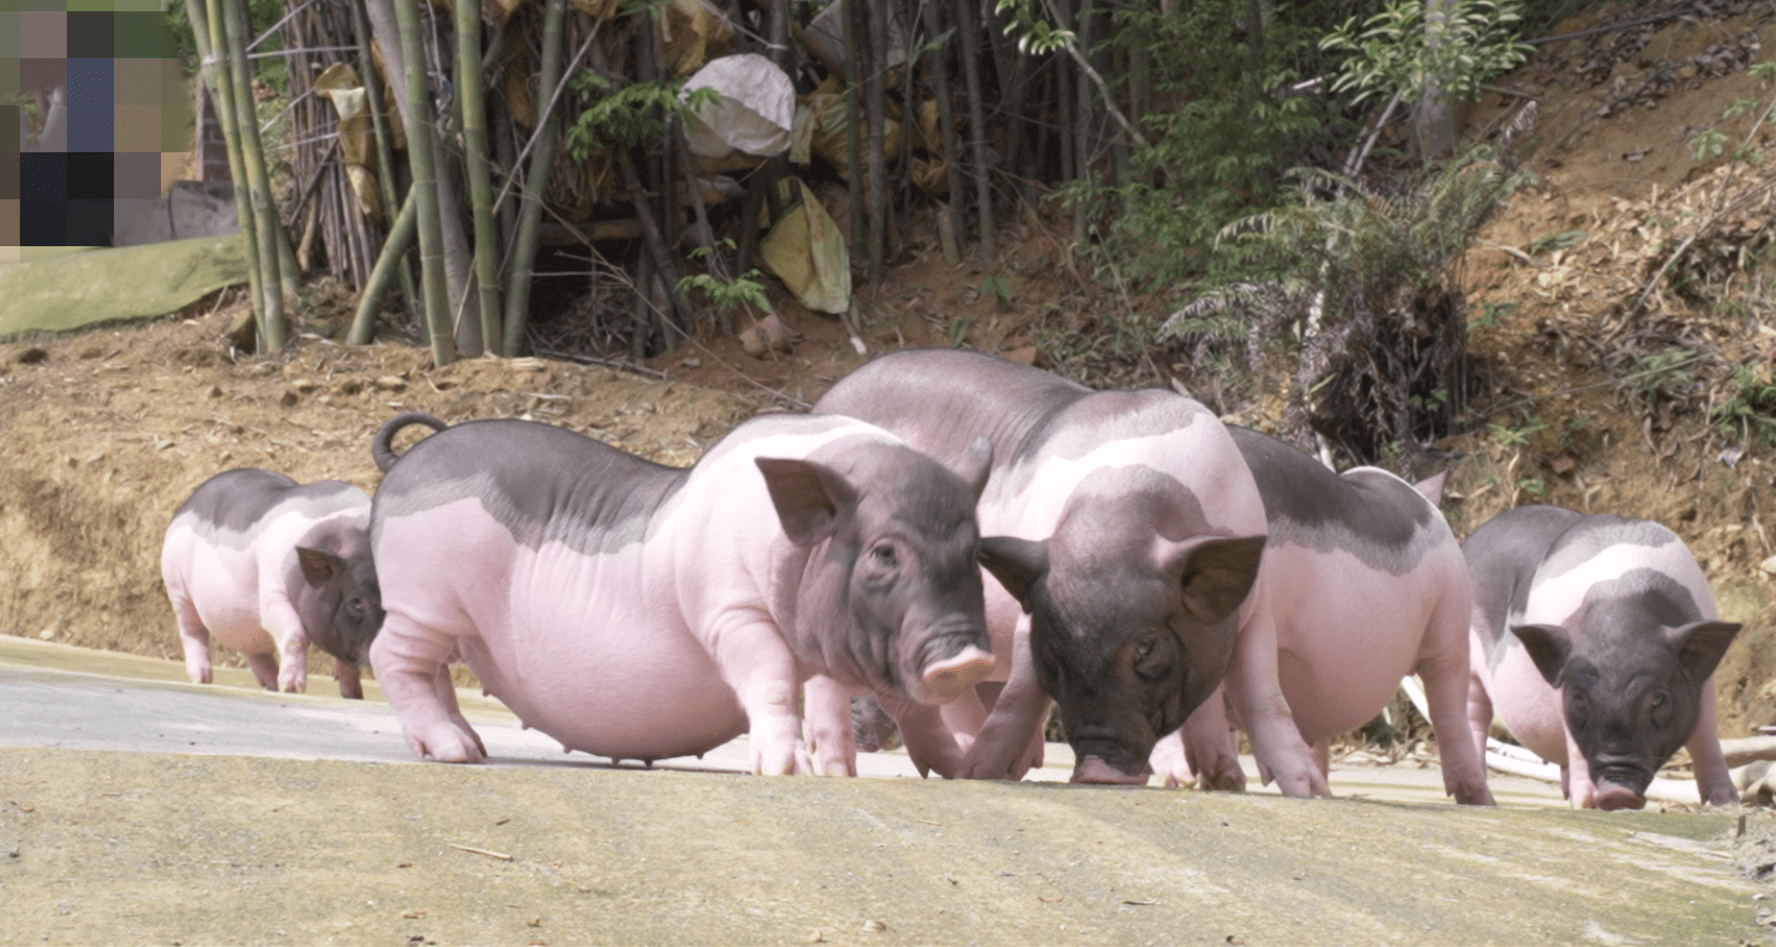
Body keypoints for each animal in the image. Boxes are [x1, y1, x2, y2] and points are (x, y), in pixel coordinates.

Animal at [160, 465, 381, 696]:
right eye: (356, 602)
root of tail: (185, 507)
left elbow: (348, 657)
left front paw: (354, 696)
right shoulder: (273, 594)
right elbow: (295, 636)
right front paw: (292, 689)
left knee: (254, 650)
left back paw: (272, 686)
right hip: (177, 587)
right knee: (192, 631)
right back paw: (202, 679)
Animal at [364, 410, 1001, 771]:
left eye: (974, 551)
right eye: (884, 553)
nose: (969, 658)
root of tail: (402, 467)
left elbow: (842, 700)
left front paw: (851, 774)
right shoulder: (729, 609)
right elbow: (772, 677)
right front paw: (787, 770)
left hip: (451, 623)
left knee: (434, 673)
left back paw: (468, 745)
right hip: (424, 601)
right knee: (391, 657)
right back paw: (455, 755)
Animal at [813, 346, 1328, 788]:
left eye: (1146, 647)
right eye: (1053, 650)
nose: (1097, 768)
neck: (1124, 506)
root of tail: (824, 402)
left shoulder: (1253, 609)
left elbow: (1265, 697)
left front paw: (1302, 790)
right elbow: (1020, 694)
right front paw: (980, 774)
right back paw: (852, 771)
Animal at [1463, 504, 1740, 810]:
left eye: (1659, 698)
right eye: (1579, 700)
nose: (1616, 792)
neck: (1620, 601)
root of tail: (1471, 541)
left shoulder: (1705, 681)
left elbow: (1706, 737)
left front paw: (1727, 804)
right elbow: (1575, 746)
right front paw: (1585, 805)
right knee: (1474, 719)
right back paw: (1483, 801)